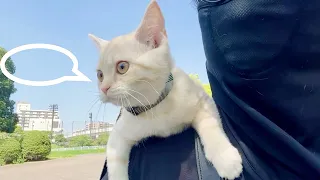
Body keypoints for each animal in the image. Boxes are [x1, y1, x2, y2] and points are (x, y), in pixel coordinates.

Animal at [87, 0, 242, 179]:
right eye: (100, 75)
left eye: (122, 67)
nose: (104, 88)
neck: (156, 107)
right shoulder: (118, 134)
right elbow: (114, 160)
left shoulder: (203, 99)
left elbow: (210, 125)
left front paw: (225, 157)